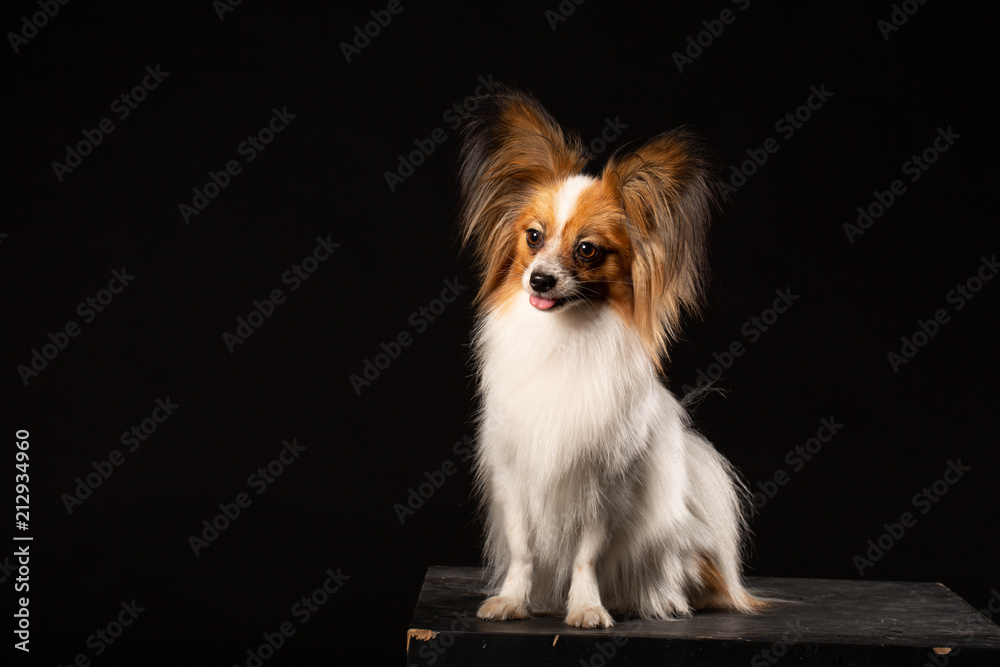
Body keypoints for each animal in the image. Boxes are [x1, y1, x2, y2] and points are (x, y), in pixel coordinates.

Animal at [460, 86, 764, 628]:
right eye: (533, 237)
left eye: (587, 250)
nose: (539, 279)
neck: (563, 336)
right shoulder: (515, 475)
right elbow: (522, 550)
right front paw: (512, 601)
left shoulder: (603, 487)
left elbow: (588, 555)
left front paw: (586, 607)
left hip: (674, 545)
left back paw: (662, 599)